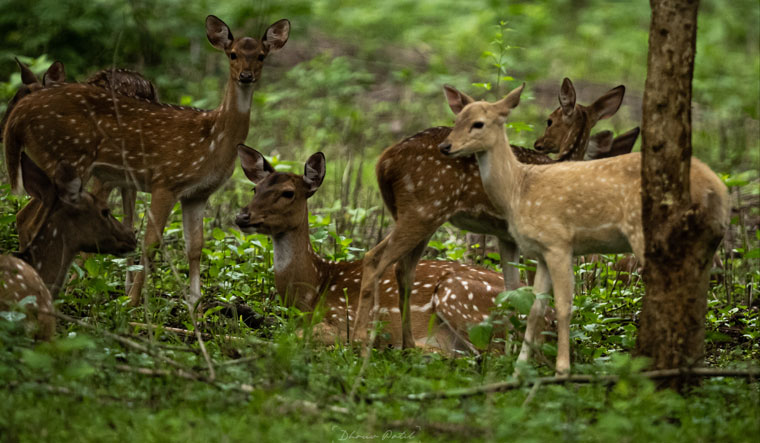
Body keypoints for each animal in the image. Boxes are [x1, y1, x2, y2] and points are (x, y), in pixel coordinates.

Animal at [2, 16, 290, 308]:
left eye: (261, 55)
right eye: (232, 54)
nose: (246, 76)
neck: (213, 138)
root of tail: (19, 116)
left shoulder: (197, 194)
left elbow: (195, 246)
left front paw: (195, 306)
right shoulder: (166, 180)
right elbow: (151, 242)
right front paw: (132, 302)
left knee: (27, 217)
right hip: (68, 159)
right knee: (31, 219)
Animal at [233, 146, 510, 354]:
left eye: (288, 193)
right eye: (255, 188)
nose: (242, 216)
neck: (313, 289)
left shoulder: (343, 319)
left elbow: (295, 336)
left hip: (458, 298)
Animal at [360, 79, 632, 350]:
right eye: (550, 119)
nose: (539, 143)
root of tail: (383, 161)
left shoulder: (507, 236)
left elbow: (512, 289)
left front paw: (513, 347)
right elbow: (534, 291)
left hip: (419, 214)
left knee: (403, 269)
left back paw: (407, 345)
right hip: (423, 209)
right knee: (375, 259)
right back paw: (363, 342)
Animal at [440, 83, 732, 374]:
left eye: (478, 123)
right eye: (456, 120)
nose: (445, 146)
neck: (519, 189)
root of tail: (716, 186)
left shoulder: (558, 242)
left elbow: (563, 306)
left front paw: (562, 369)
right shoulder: (542, 251)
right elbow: (535, 308)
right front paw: (520, 368)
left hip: (646, 229)